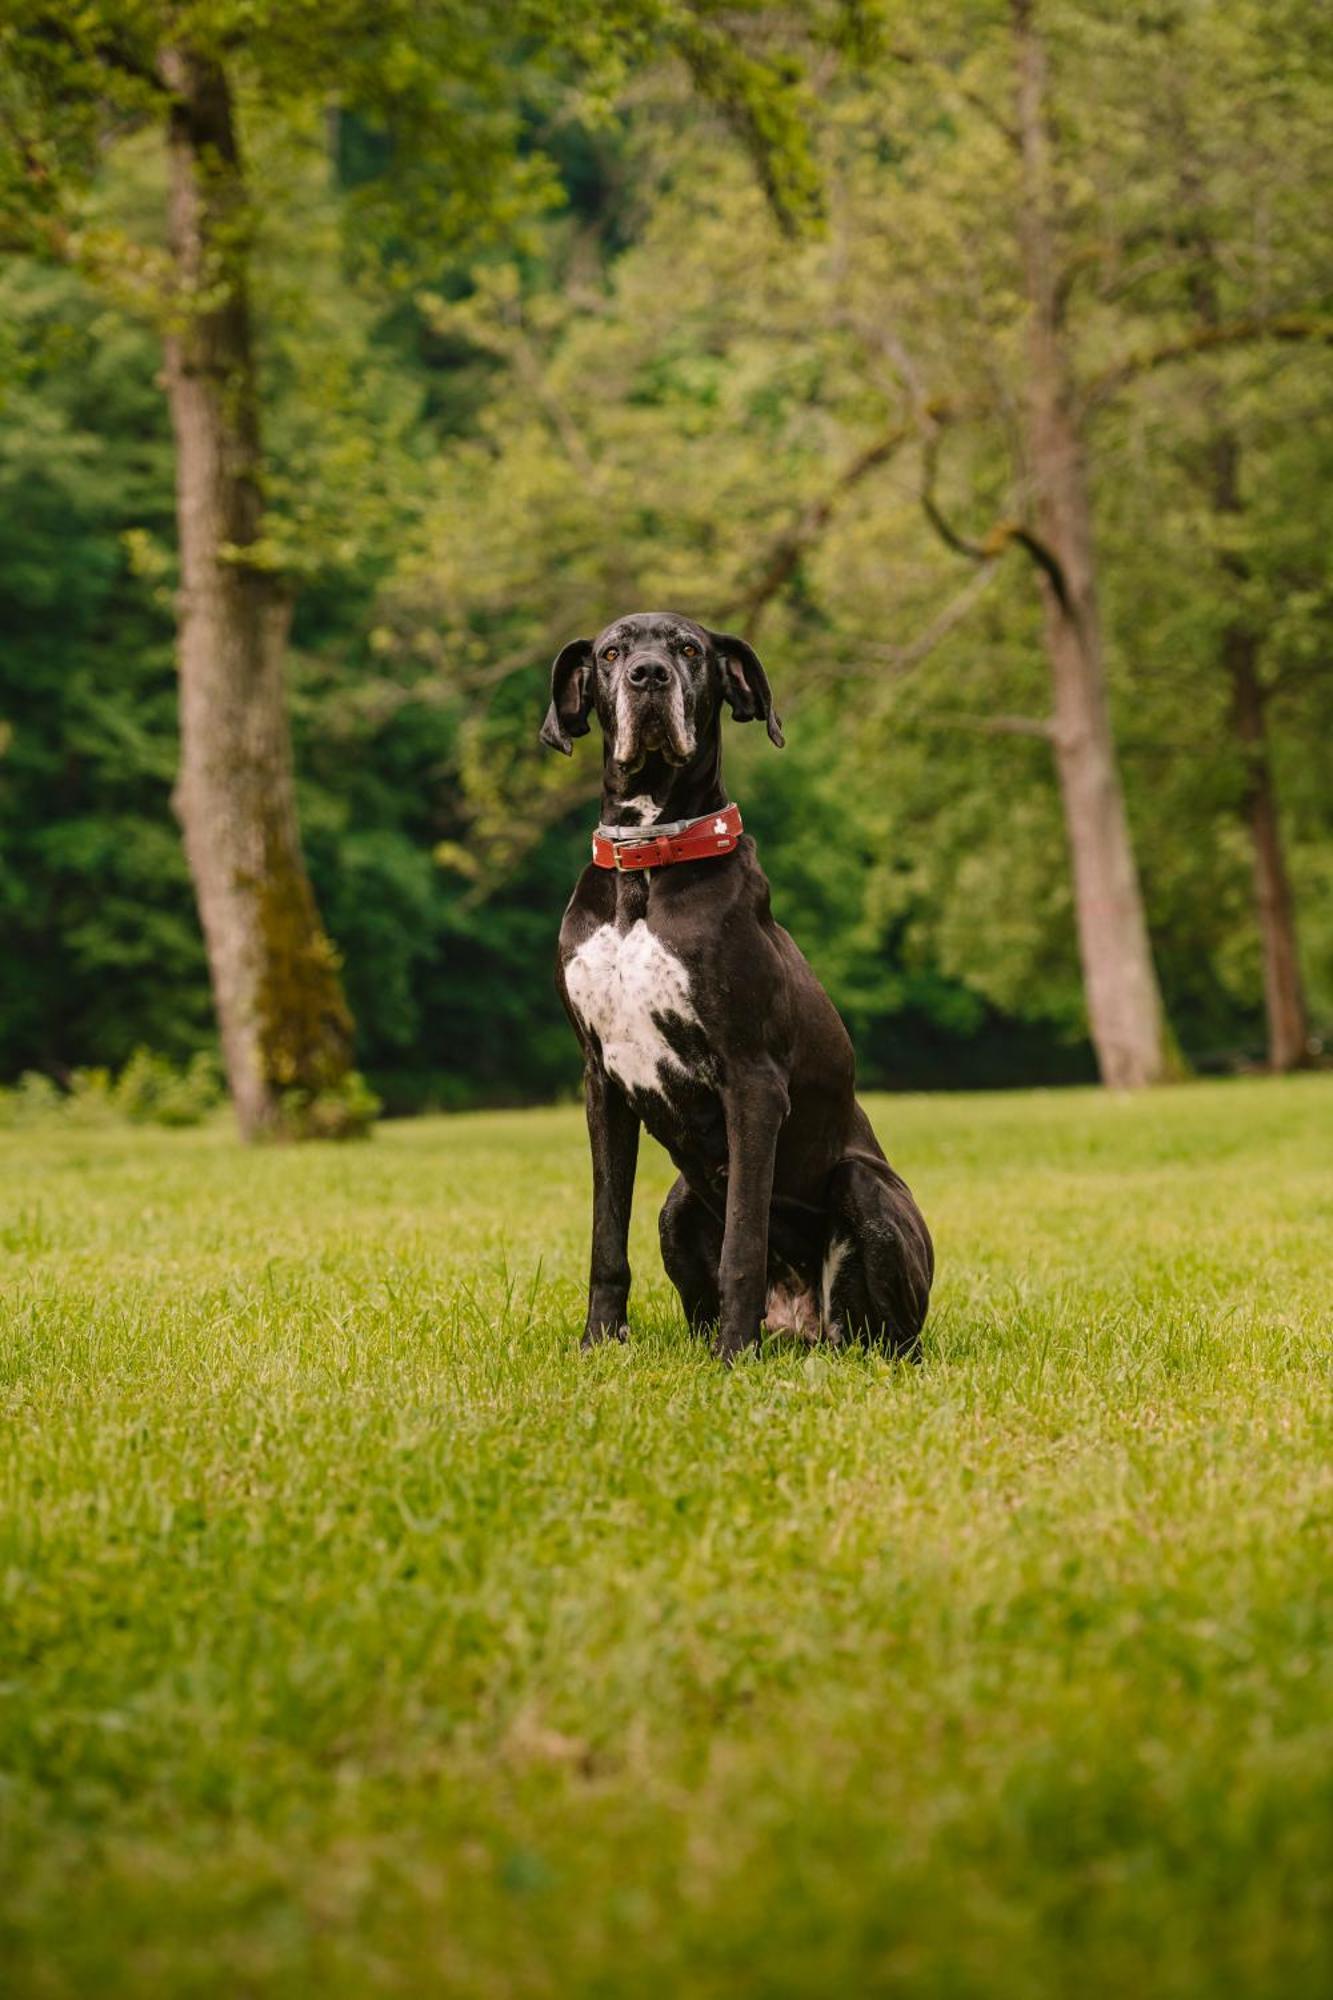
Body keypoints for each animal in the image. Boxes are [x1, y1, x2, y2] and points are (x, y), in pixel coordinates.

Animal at [536, 608, 928, 1360]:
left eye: (689, 649)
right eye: (611, 653)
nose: (648, 676)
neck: (647, 861)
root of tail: (802, 1324)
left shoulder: (752, 1080)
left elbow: (743, 1241)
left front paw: (732, 1357)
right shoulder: (601, 1081)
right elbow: (606, 1235)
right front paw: (599, 1343)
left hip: (865, 1191)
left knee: (885, 1335)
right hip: (677, 1203)